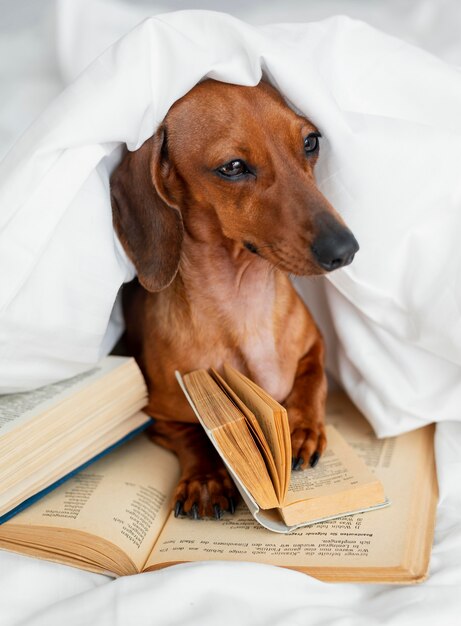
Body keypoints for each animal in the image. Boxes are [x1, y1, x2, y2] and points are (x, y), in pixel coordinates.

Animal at [109, 78, 358, 516]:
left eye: (310, 141)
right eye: (233, 167)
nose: (345, 249)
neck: (245, 302)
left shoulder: (315, 345)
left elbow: (313, 381)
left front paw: (301, 428)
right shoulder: (154, 414)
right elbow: (192, 432)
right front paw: (206, 479)